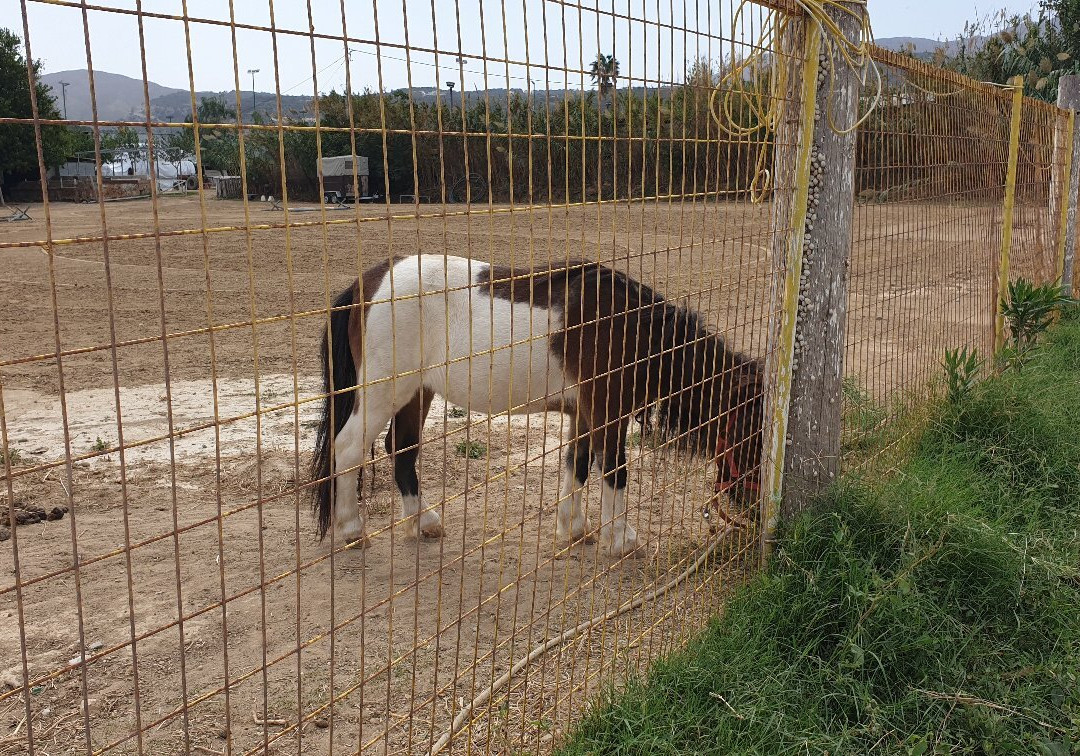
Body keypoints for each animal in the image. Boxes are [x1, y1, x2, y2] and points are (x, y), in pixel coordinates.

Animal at [310, 254, 765, 558]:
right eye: (752, 431)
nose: (753, 511)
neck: (630, 329)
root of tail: (366, 285)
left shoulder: (583, 412)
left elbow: (578, 464)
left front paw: (575, 528)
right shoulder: (607, 411)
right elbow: (614, 469)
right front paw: (619, 539)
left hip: (416, 392)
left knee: (401, 451)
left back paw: (424, 522)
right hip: (384, 392)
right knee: (348, 449)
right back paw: (352, 529)